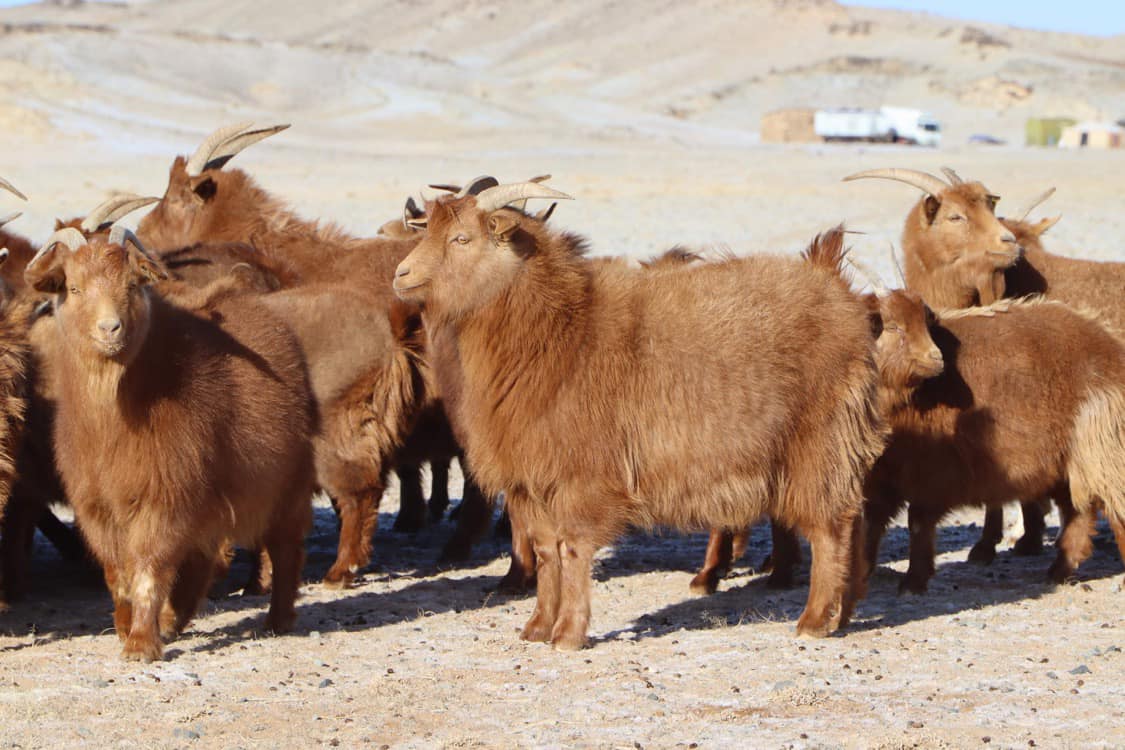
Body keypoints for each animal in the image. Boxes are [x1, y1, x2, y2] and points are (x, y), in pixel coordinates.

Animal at [26, 226, 317, 661]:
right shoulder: (97, 506)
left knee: (285, 547)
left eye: (132, 285)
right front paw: (126, 627)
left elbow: (149, 567)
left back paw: (278, 620)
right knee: (203, 557)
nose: (109, 328)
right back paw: (174, 622)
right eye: (73, 288)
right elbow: (118, 574)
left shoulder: (163, 495)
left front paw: (140, 645)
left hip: (288, 484)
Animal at [396, 183, 886, 652]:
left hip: (819, 441)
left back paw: (815, 621)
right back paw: (845, 613)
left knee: (831, 527)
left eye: (462, 238)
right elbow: (546, 553)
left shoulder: (581, 477)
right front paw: (536, 628)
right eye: (428, 231)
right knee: (853, 519)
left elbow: (573, 550)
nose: (401, 275)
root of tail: (830, 280)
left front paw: (568, 634)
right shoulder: (532, 483)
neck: (560, 331)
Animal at [859, 292, 1125, 593]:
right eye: (892, 327)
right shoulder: (881, 477)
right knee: (1077, 513)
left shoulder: (930, 474)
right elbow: (872, 524)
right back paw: (1058, 570)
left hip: (1102, 451)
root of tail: (1111, 343)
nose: (936, 359)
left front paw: (914, 581)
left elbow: (918, 523)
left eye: (924, 325)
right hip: (1069, 466)